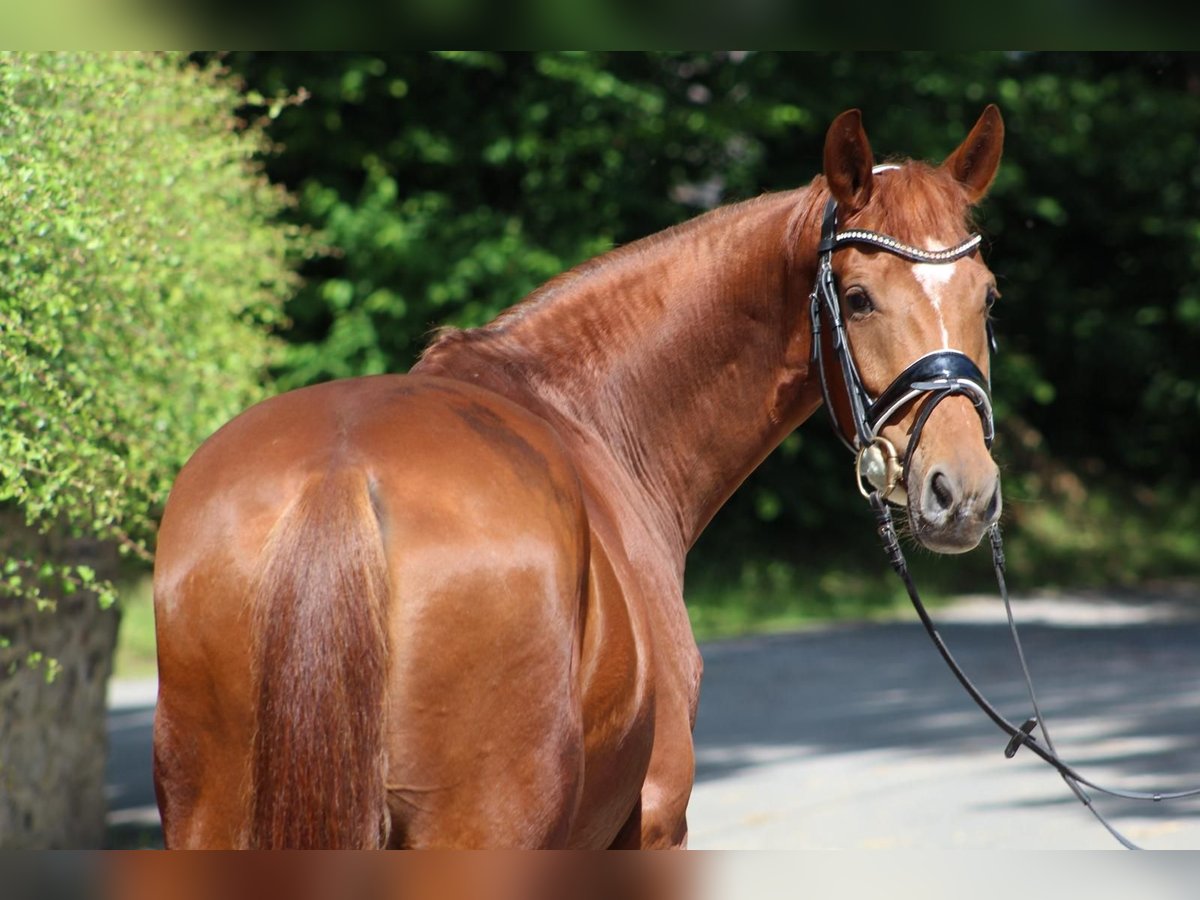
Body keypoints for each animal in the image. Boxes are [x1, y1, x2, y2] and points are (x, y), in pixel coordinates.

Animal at [154, 107, 1008, 854]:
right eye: (858, 298)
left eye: (988, 296)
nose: (960, 489)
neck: (591, 414)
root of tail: (339, 473)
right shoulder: (654, 821)